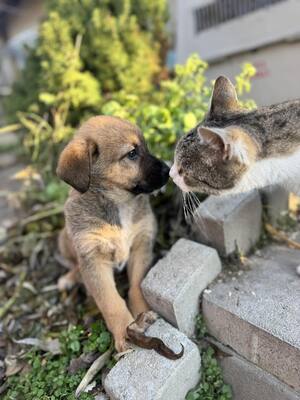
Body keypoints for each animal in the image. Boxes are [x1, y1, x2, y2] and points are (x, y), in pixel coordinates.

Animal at [56, 115, 169, 350]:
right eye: (132, 153)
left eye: (145, 146)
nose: (169, 171)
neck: (118, 203)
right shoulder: (93, 258)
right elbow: (111, 301)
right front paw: (124, 331)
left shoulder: (141, 244)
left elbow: (136, 284)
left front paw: (142, 314)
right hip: (64, 239)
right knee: (75, 264)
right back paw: (69, 278)